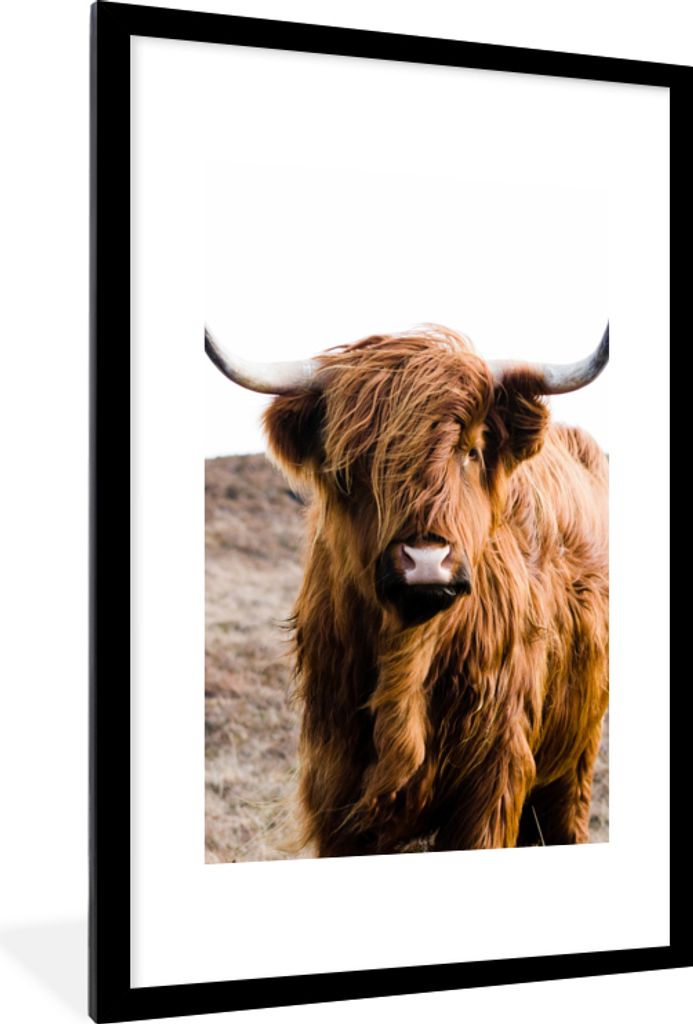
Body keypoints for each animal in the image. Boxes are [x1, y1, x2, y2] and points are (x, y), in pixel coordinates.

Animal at [205, 324, 609, 856]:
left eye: (471, 451)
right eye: (353, 464)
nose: (426, 562)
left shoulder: (492, 780)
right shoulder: (336, 781)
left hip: (577, 752)